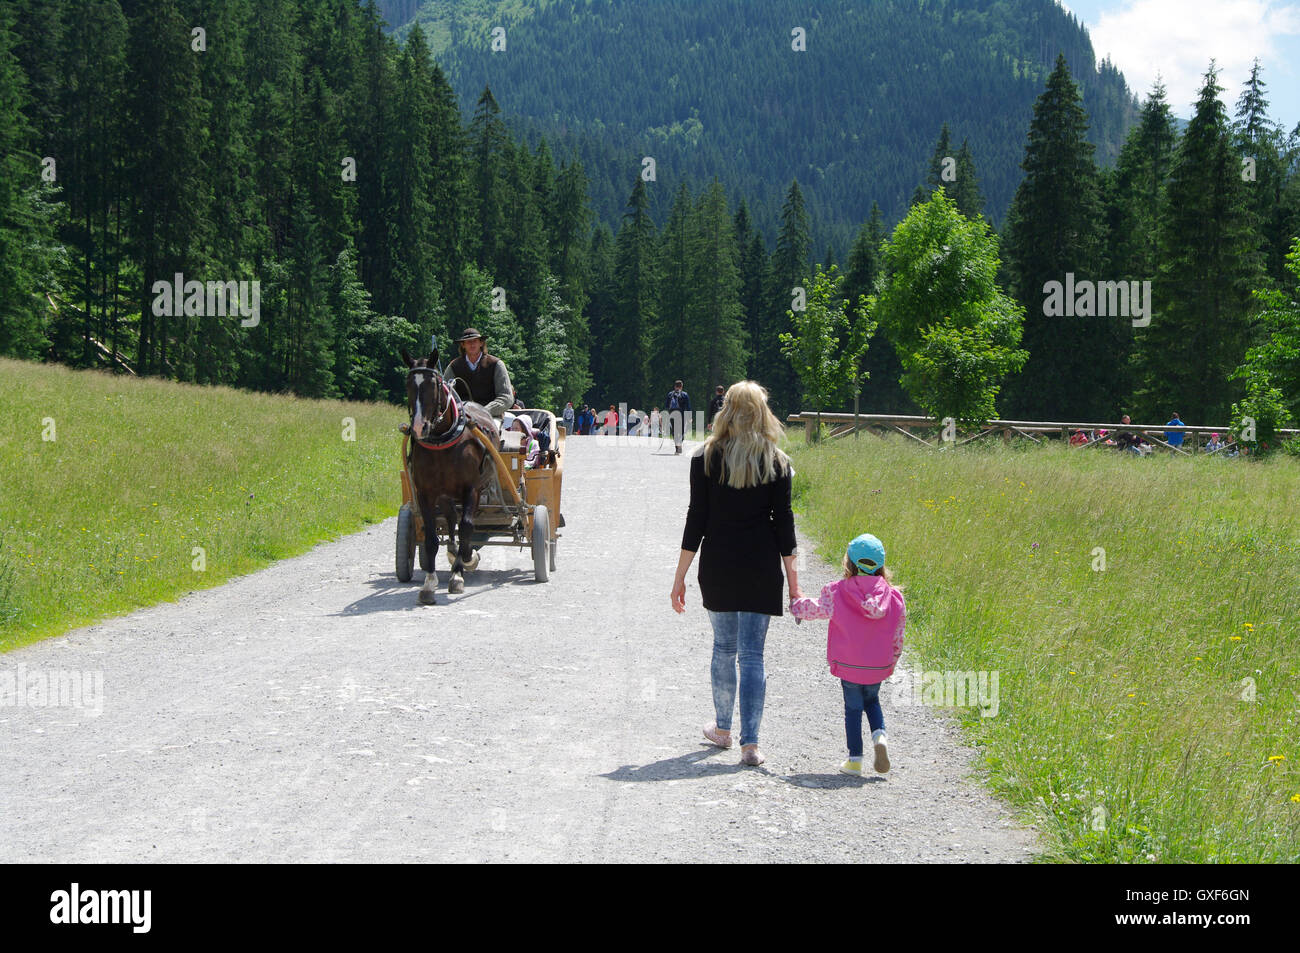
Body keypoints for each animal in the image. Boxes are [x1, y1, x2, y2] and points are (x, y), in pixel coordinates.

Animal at [397, 348, 499, 603]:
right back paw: (452, 550)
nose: (419, 427)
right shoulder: (425, 493)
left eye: (433, 384)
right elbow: (432, 538)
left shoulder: (471, 489)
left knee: (462, 523)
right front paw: (429, 584)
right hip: (444, 495)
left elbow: (467, 529)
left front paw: (461, 571)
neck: (442, 441)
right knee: (451, 518)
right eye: (408, 384)